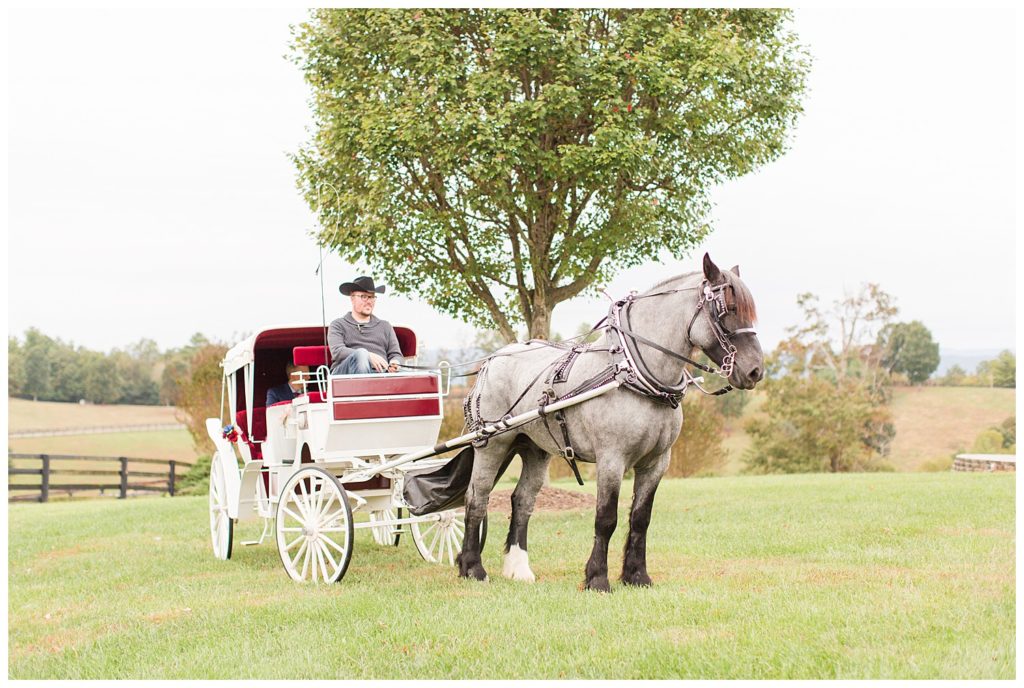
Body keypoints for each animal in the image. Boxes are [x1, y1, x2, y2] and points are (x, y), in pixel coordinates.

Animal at [454, 253, 761, 589]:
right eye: (727, 308)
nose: (756, 370)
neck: (630, 373)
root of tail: (491, 362)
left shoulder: (657, 462)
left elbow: (640, 518)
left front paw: (637, 575)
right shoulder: (611, 459)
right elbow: (606, 518)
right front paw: (597, 578)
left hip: (535, 448)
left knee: (522, 501)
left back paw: (518, 568)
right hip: (493, 444)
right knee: (477, 498)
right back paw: (472, 568)